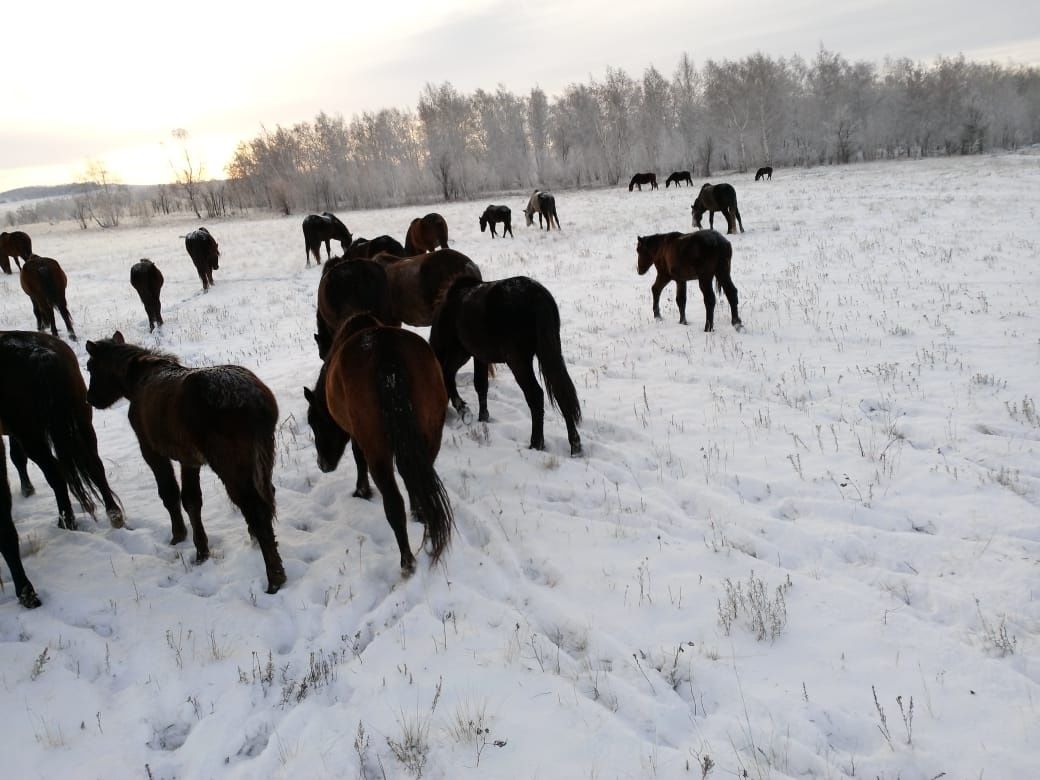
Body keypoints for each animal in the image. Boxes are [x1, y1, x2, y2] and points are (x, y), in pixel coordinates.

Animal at [1, 330, 125, 611]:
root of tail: (41, 353)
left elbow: (17, 458)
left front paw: (26, 489)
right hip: (82, 419)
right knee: (96, 467)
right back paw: (114, 515)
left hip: (33, 433)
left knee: (55, 474)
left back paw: (66, 521)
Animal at [84, 332, 287, 594]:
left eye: (90, 367)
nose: (90, 399)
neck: (140, 380)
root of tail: (256, 401)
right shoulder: (189, 460)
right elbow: (191, 500)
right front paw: (201, 551)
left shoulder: (152, 452)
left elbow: (169, 494)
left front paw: (178, 535)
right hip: (262, 458)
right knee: (266, 498)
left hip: (230, 467)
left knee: (256, 509)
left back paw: (274, 577)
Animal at [303, 314, 453, 578]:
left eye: (314, 421)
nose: (323, 465)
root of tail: (386, 352)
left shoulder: (358, 437)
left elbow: (358, 458)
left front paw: (361, 491)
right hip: (431, 437)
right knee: (415, 476)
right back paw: (421, 514)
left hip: (378, 453)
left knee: (393, 503)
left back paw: (407, 561)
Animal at [426, 276, 582, 455]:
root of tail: (538, 296)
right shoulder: (479, 356)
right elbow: (481, 385)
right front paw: (483, 417)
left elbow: (456, 379)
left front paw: (465, 411)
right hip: (549, 353)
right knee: (561, 394)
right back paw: (575, 446)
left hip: (517, 361)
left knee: (536, 396)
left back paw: (536, 444)